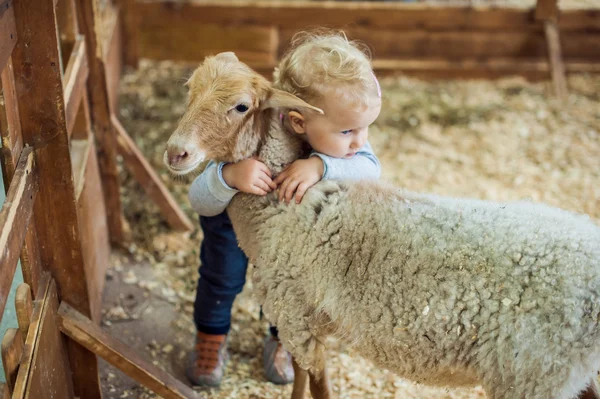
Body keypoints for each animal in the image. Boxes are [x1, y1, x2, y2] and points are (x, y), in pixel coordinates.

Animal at [166, 51, 600, 398]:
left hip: (532, 372)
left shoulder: (296, 317)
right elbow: (302, 380)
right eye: (188, 90)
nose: (175, 153)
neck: (281, 210)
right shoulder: (301, 323)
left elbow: (317, 385)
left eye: (241, 106)